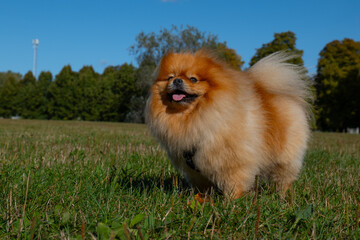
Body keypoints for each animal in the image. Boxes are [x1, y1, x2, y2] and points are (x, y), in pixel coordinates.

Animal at [146, 49, 312, 199]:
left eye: (193, 79)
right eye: (170, 77)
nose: (177, 80)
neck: (194, 117)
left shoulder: (233, 162)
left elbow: (234, 183)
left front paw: (232, 202)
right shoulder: (196, 170)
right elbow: (203, 186)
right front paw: (202, 198)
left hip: (285, 159)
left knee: (283, 178)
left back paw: (281, 196)